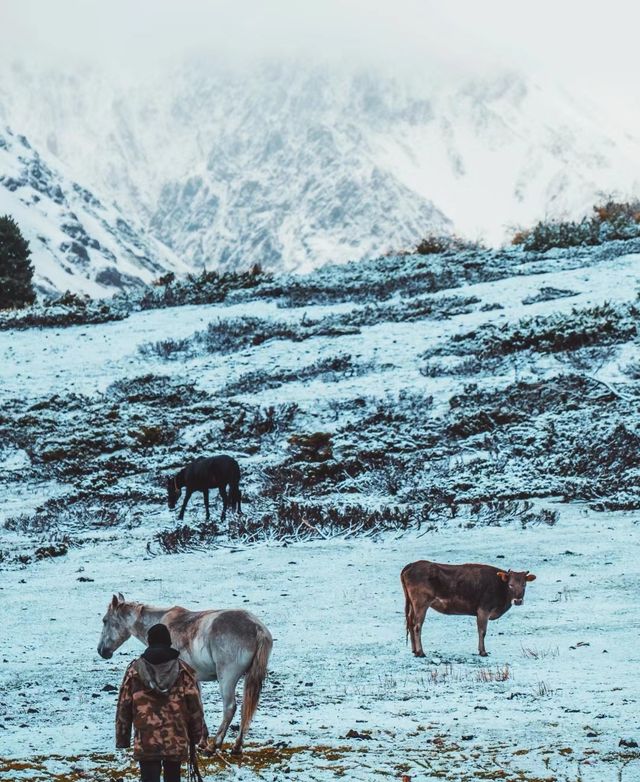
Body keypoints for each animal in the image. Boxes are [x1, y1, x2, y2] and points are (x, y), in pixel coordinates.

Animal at [97, 596, 272, 756]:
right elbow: (199, 704)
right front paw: (201, 740)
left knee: (230, 708)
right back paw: (236, 746)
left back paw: (213, 746)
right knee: (245, 709)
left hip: (227, 678)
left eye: (105, 621)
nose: (101, 651)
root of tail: (257, 628)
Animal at [400, 560, 536, 660]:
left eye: (524, 585)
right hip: (421, 602)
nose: (518, 601)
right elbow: (482, 631)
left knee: (410, 623)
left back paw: (414, 650)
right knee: (417, 626)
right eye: (510, 585)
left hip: (412, 603)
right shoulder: (483, 609)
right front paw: (483, 652)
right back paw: (421, 652)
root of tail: (411, 565)